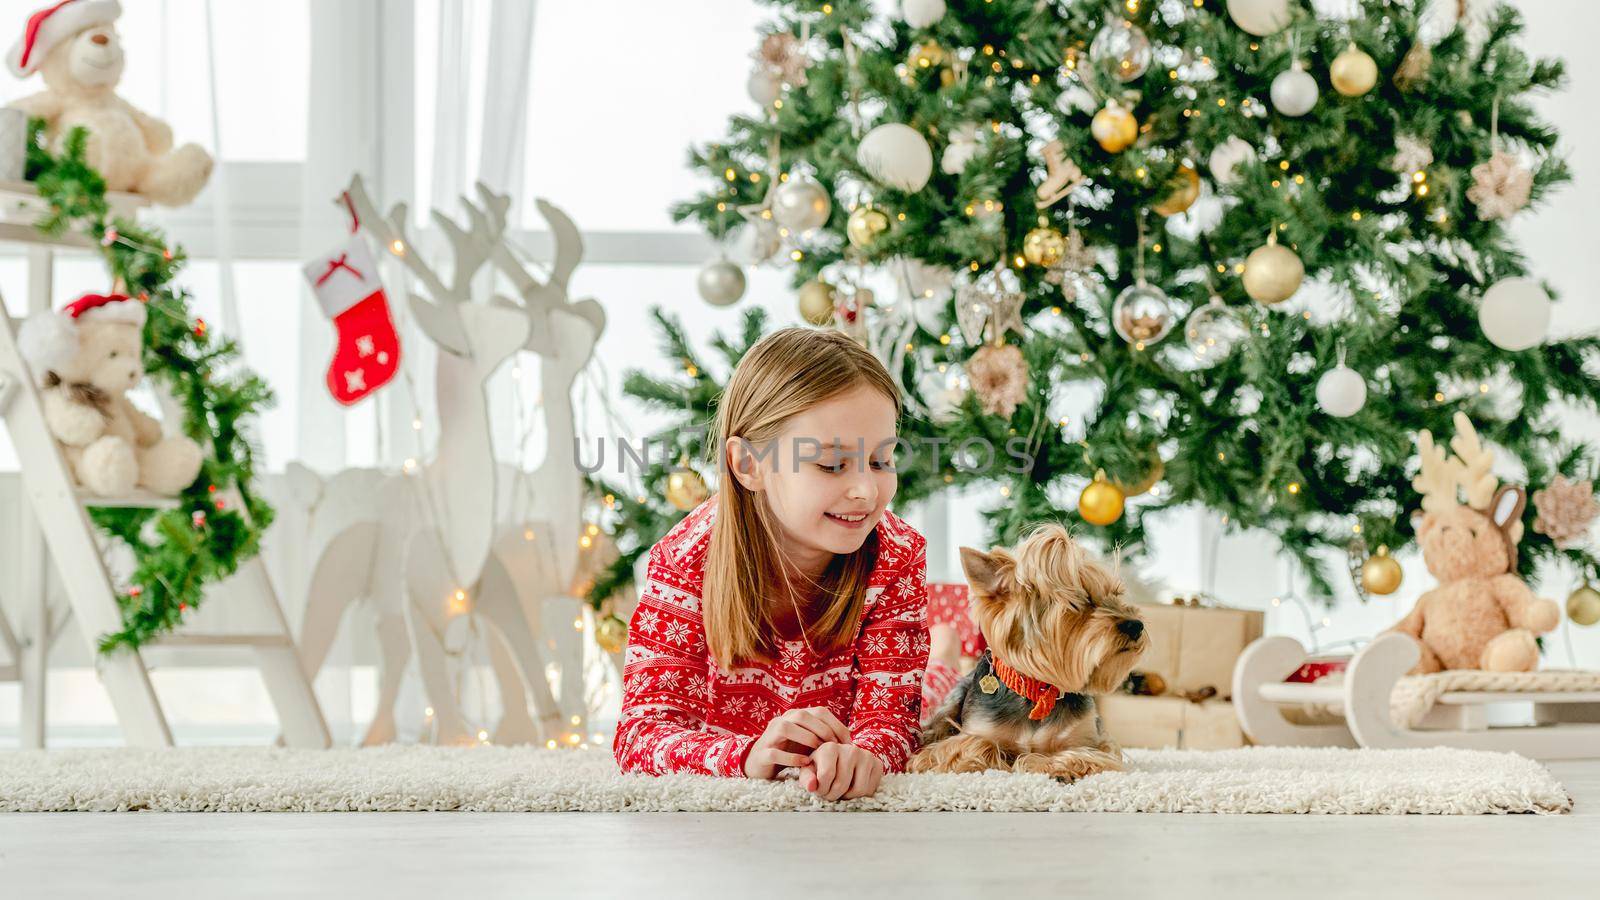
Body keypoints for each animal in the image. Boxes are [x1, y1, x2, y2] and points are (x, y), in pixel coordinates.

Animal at [908, 522, 1145, 781]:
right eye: (1078, 600)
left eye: (1116, 595)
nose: (1136, 625)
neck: (1037, 692)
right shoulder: (971, 734)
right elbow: (977, 744)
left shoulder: (1092, 742)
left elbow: (1080, 754)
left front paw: (1053, 765)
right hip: (952, 699)